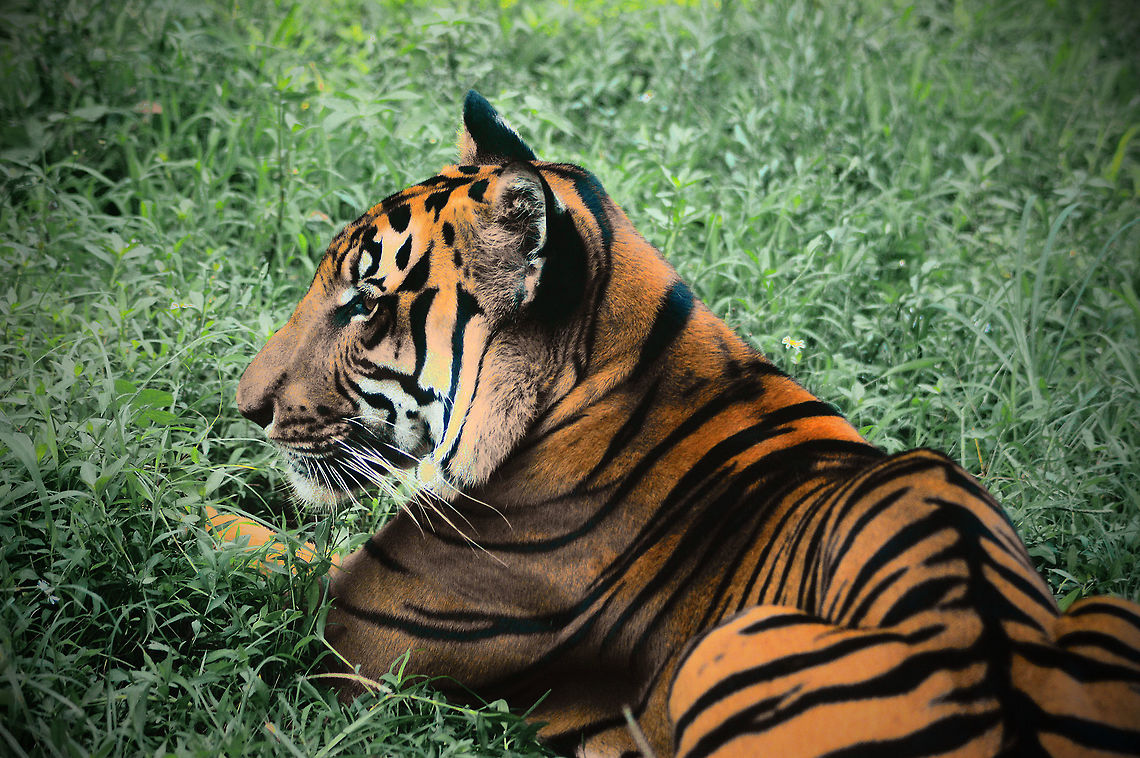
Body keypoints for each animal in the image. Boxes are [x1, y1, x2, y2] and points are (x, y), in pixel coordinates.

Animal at [228, 90, 1140, 757]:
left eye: (365, 304)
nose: (245, 406)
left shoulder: (349, 627)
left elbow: (236, 551)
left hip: (730, 648)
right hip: (1111, 611)